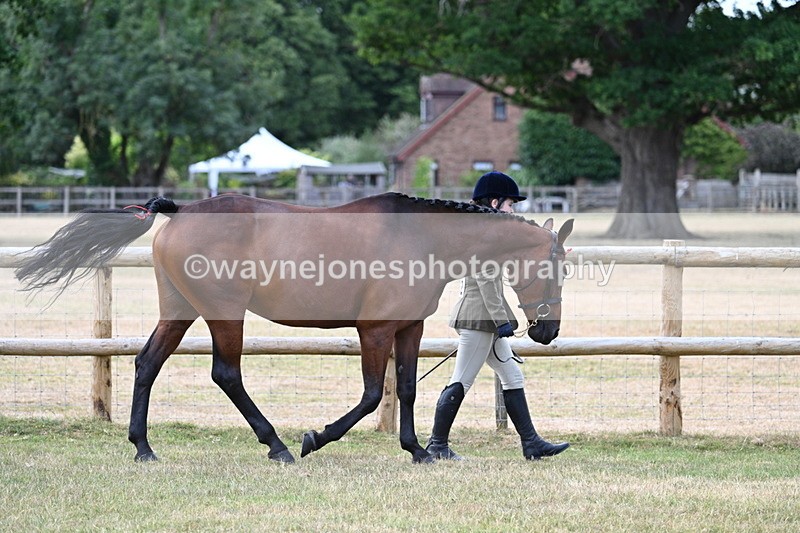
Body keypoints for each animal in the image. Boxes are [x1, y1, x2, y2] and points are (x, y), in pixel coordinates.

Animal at [15, 192, 573, 464]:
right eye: (555, 266)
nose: (545, 332)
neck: (418, 236)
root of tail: (180, 210)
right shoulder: (374, 331)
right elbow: (373, 395)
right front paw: (315, 437)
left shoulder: (407, 328)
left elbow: (409, 390)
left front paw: (417, 450)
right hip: (224, 313)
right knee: (226, 374)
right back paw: (278, 446)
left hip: (179, 309)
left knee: (148, 363)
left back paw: (144, 448)